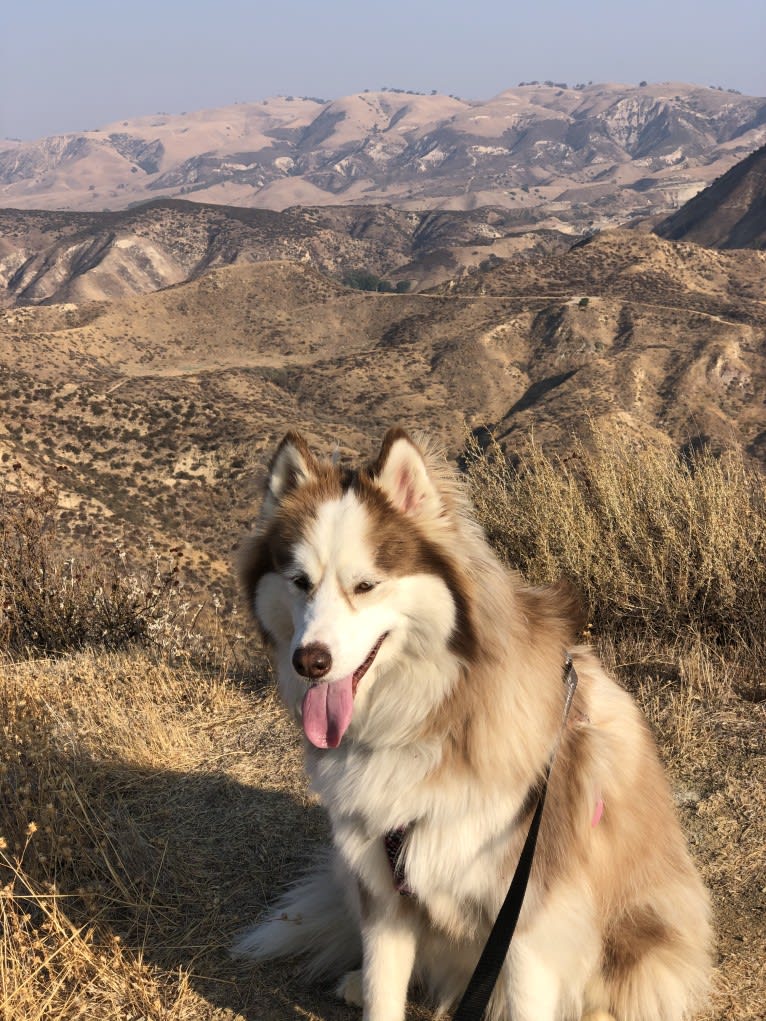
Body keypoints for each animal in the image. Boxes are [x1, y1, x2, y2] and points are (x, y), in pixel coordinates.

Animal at [233, 428, 714, 1021]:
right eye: (299, 582)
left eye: (366, 585)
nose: (310, 662)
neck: (427, 720)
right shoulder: (384, 896)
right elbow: (385, 991)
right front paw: (371, 987)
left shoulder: (527, 922)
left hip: (643, 934)